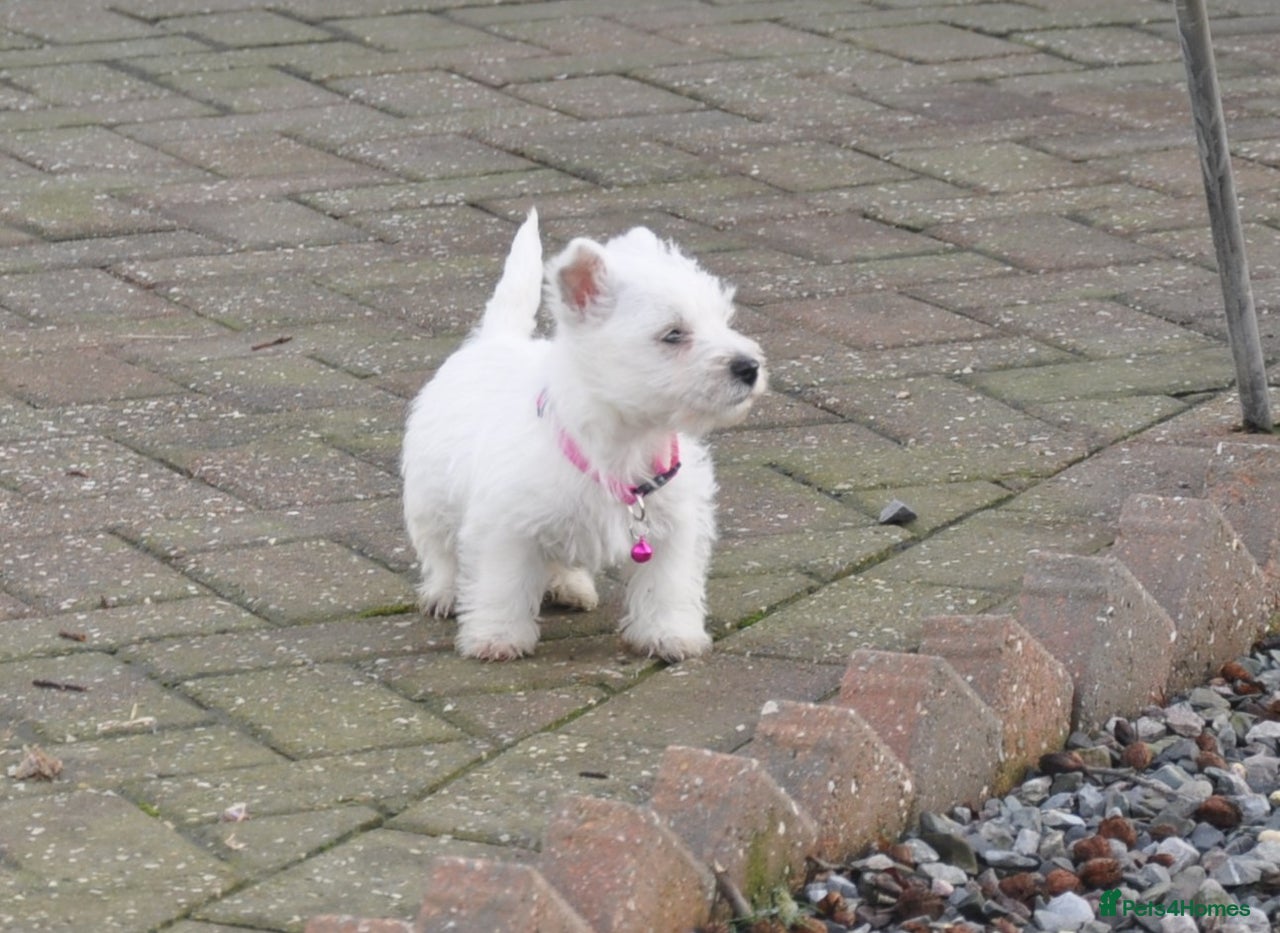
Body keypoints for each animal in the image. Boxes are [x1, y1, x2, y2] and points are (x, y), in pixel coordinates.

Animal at [399, 211, 762, 660]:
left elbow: (667, 585)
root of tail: (494, 338)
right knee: (442, 551)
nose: (750, 367)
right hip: (430, 497)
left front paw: (670, 634)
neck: (626, 439)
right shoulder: (505, 526)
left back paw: (570, 586)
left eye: (724, 321)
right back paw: (445, 593)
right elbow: (501, 583)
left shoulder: (674, 525)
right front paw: (497, 637)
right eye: (674, 333)